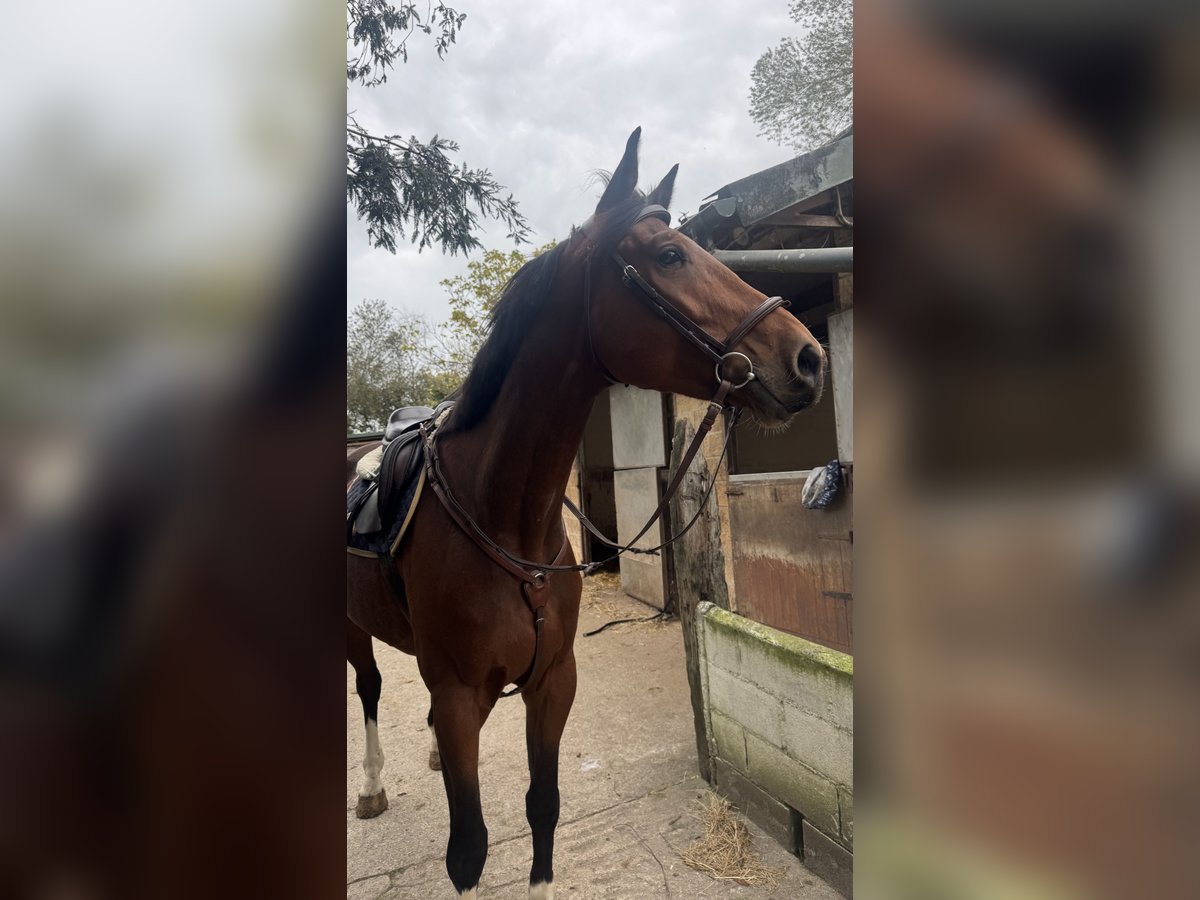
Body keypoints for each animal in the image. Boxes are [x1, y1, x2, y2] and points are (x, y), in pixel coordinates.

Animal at [346, 127, 826, 899]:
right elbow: (469, 850)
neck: (501, 517)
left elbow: (544, 807)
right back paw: (370, 787)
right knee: (367, 689)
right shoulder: (460, 698)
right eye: (668, 255)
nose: (808, 358)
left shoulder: (552, 684)